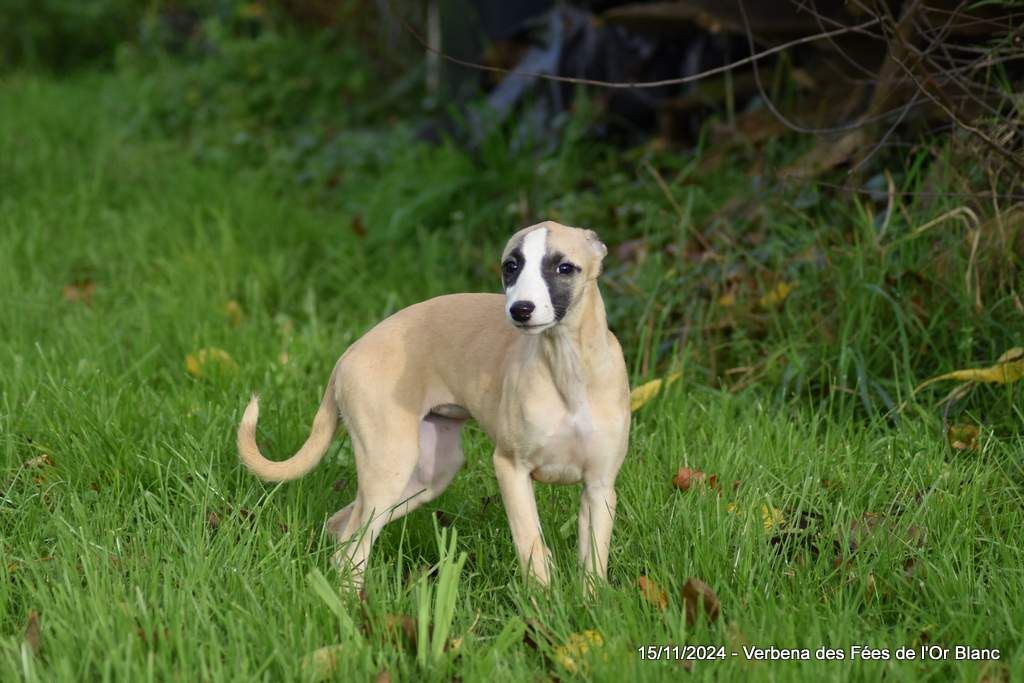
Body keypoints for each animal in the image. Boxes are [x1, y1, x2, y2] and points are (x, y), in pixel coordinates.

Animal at [235, 222, 626, 589]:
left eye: (564, 267)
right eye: (511, 266)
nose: (521, 310)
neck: (567, 369)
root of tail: (347, 355)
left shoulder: (600, 488)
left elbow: (594, 562)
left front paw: (587, 605)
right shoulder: (510, 468)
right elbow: (530, 545)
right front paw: (541, 604)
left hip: (426, 475)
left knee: (341, 529)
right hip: (389, 468)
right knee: (351, 550)